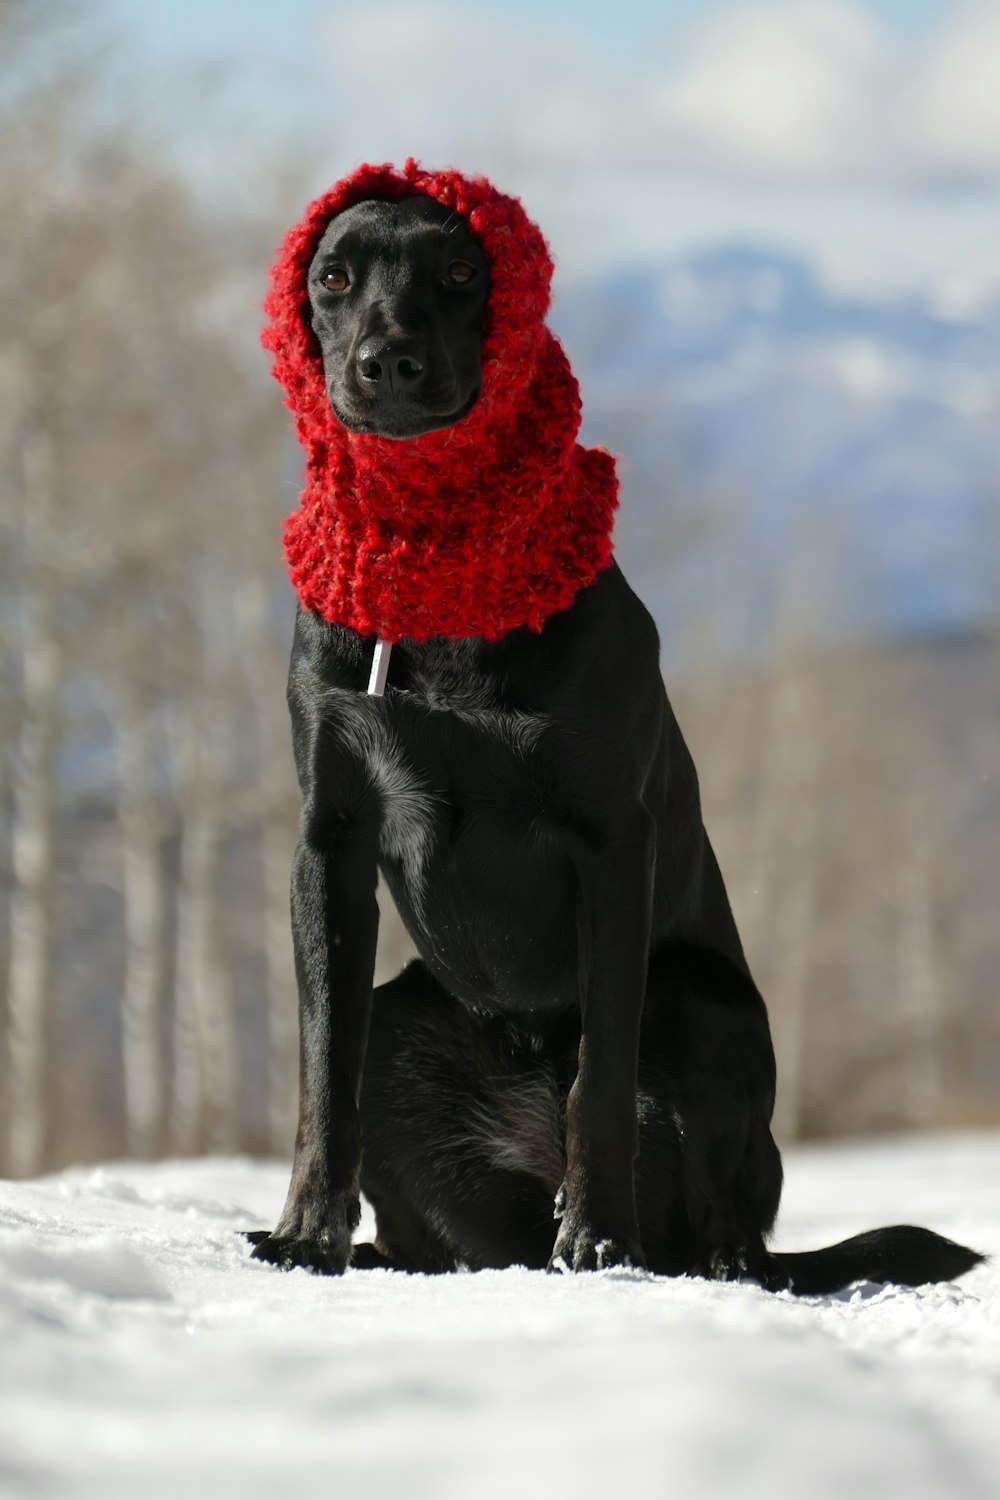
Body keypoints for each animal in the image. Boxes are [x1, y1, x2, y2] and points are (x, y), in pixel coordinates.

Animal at [245, 187, 983, 1290]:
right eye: (333, 276)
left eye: (461, 274)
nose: (387, 362)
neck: (443, 580)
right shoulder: (328, 841)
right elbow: (323, 1063)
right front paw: (304, 1233)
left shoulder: (609, 851)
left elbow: (598, 1082)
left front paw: (596, 1236)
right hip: (408, 1024)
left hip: (701, 1007)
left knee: (715, 1218)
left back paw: (677, 1251)